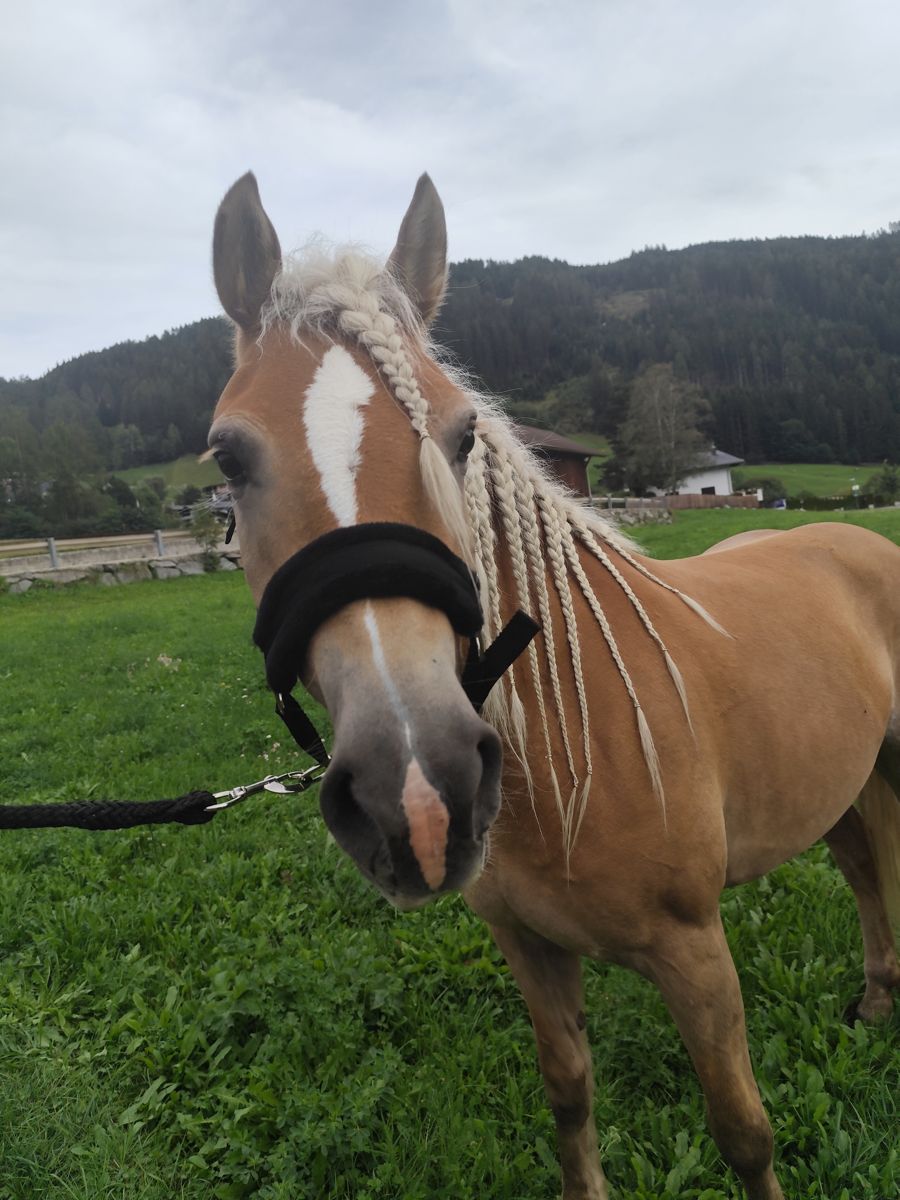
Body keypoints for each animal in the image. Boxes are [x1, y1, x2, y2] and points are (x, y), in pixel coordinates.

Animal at [208, 172, 900, 1200]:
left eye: (462, 436)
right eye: (227, 458)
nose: (420, 794)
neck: (576, 735)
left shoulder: (696, 951)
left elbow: (743, 1130)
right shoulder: (528, 948)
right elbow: (570, 1095)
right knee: (861, 865)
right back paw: (877, 998)